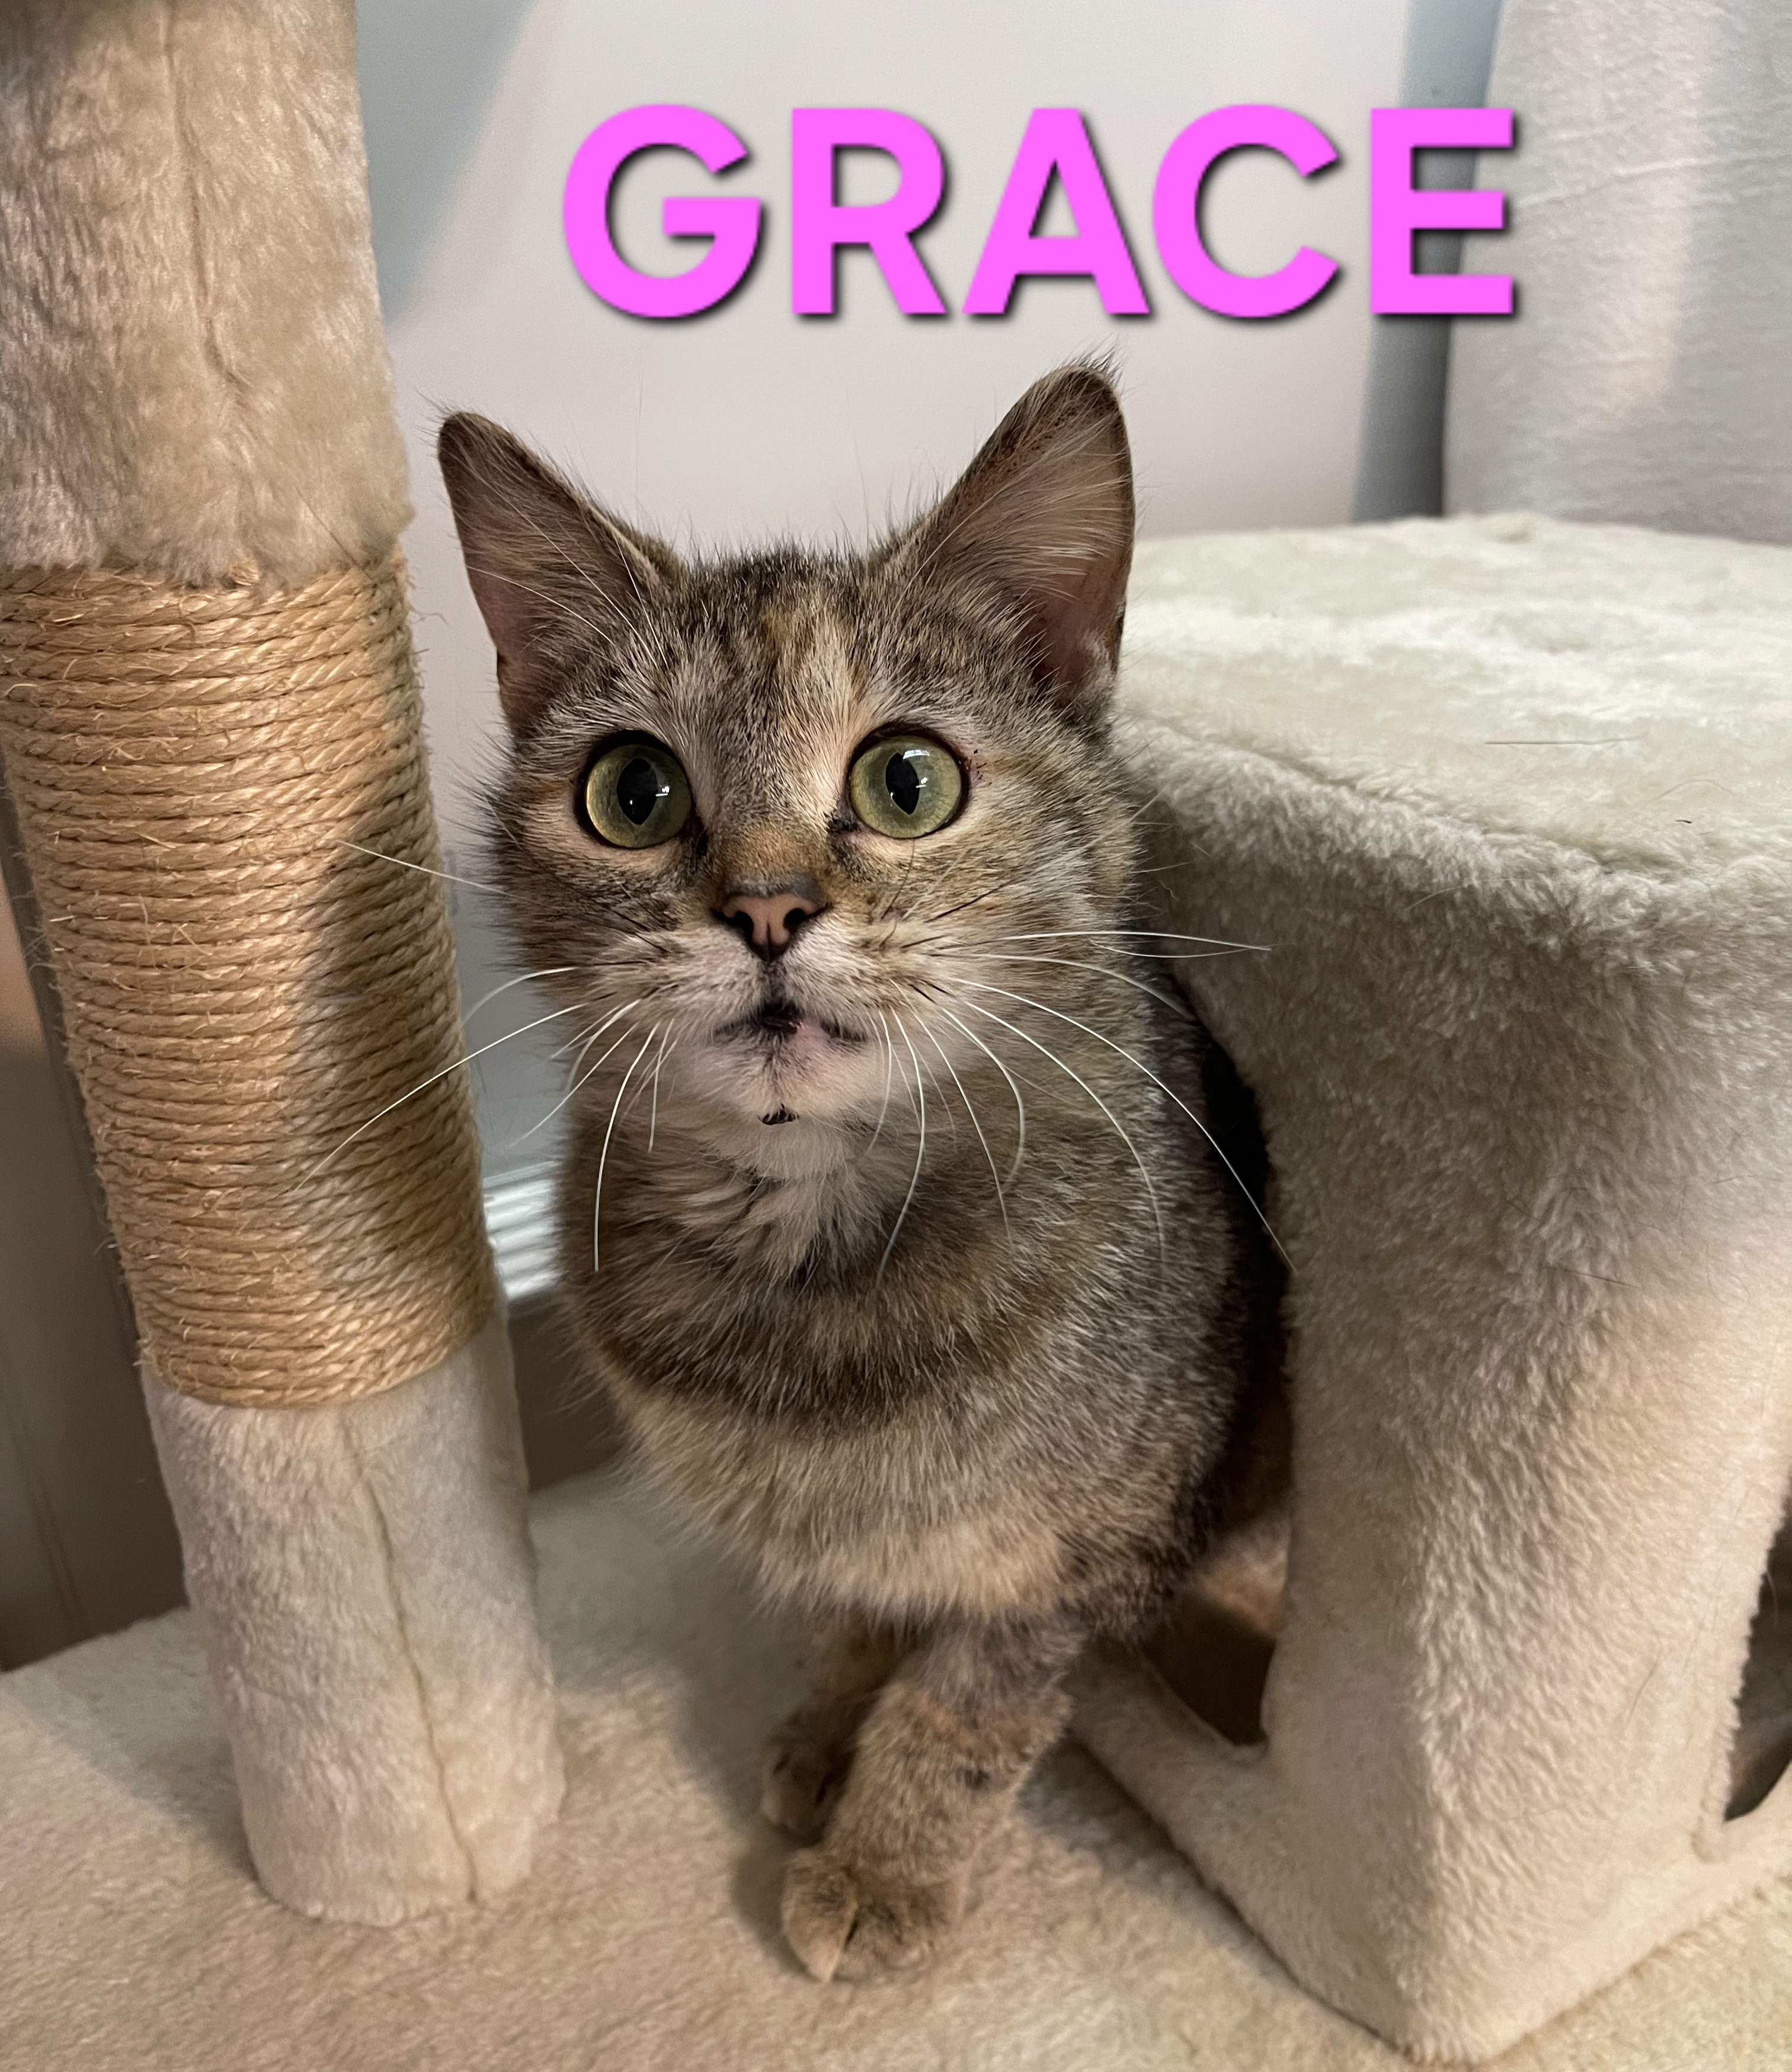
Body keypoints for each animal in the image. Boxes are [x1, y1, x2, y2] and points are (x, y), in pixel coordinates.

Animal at [439, 363, 1283, 1982]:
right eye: (632, 793)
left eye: (906, 780)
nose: (767, 906)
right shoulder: (851, 1541)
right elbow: (859, 1618)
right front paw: (830, 1731)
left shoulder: (1067, 1563)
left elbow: (962, 1709)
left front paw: (886, 1856)